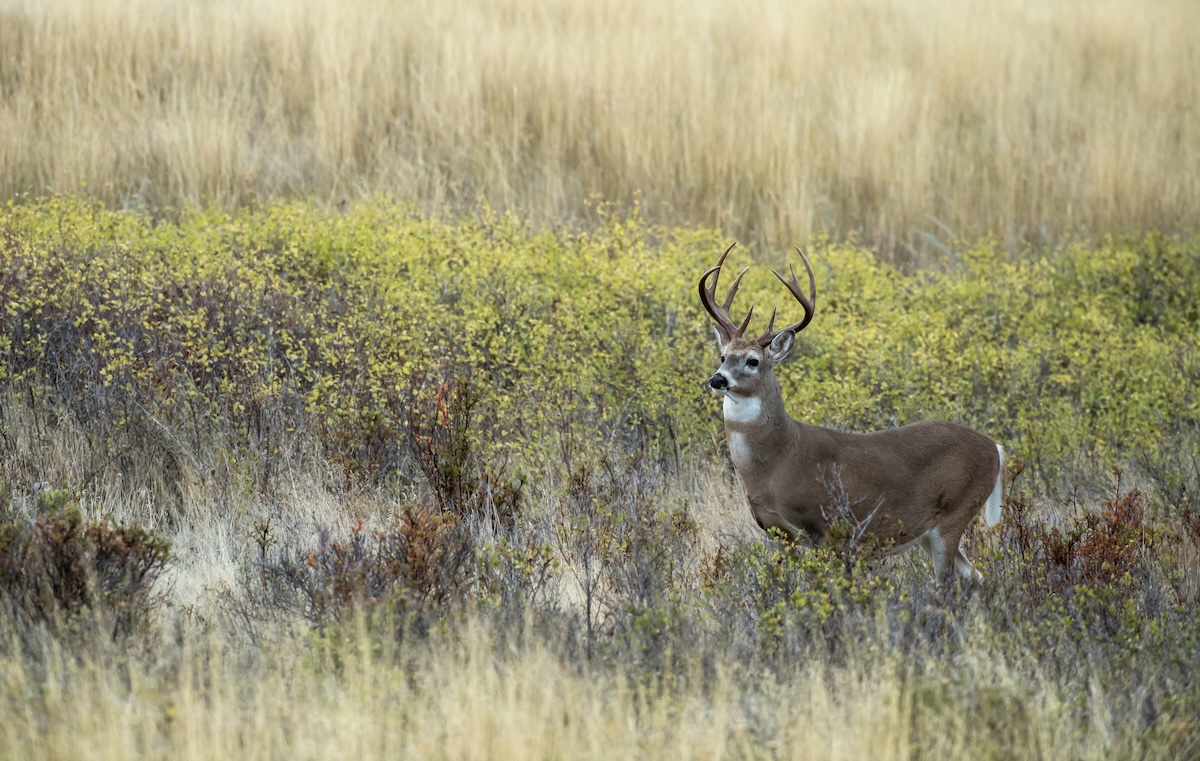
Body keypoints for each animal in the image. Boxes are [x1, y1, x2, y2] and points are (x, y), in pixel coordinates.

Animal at [700, 243, 1004, 583]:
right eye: (723, 356)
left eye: (752, 360)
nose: (717, 379)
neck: (781, 458)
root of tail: (995, 448)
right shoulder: (776, 531)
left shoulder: (829, 527)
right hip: (931, 529)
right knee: (978, 578)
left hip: (954, 512)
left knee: (948, 582)